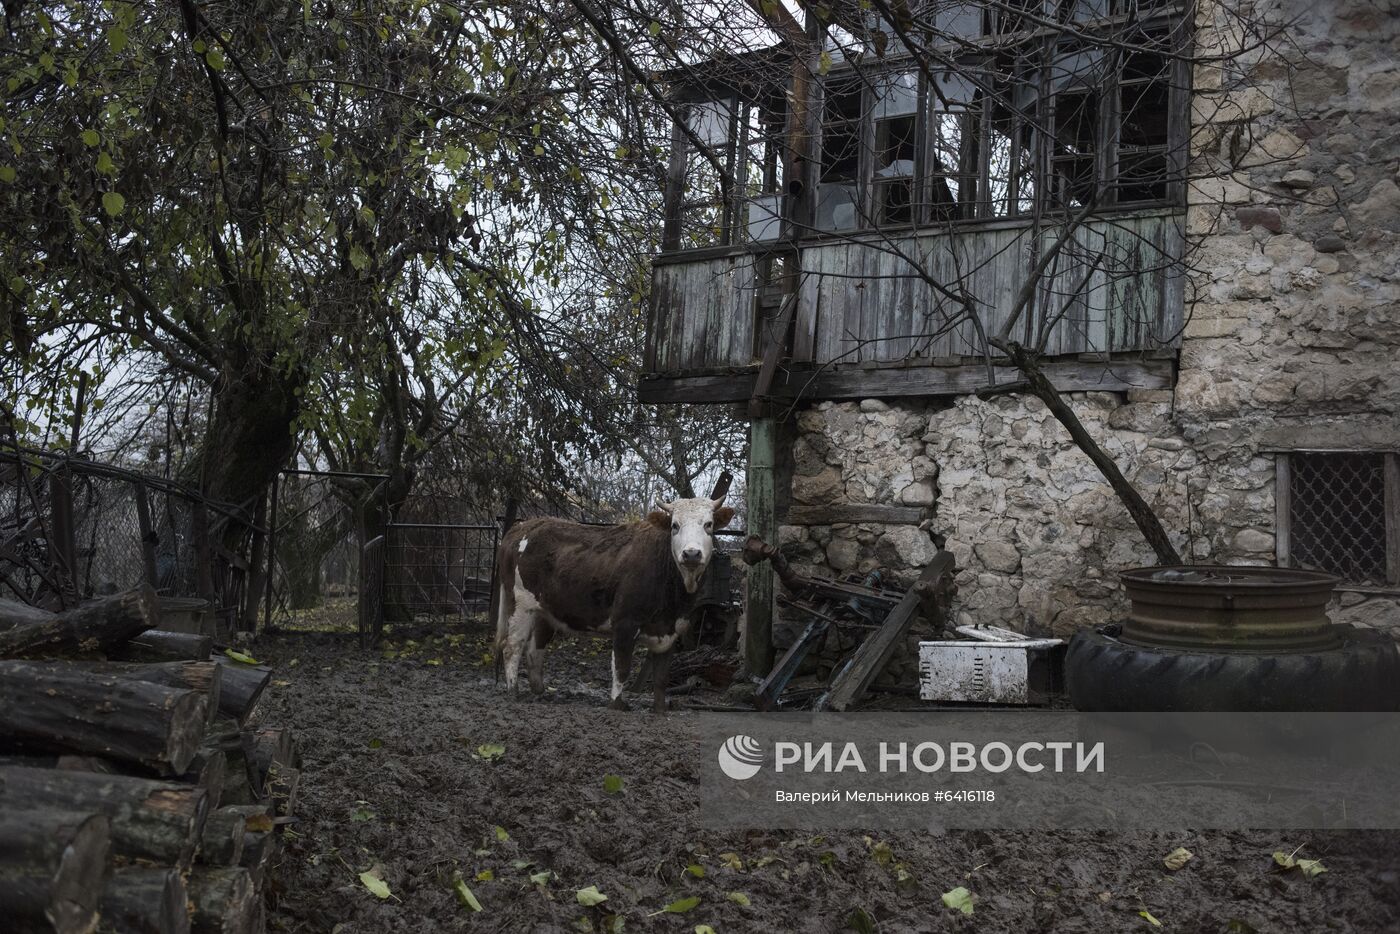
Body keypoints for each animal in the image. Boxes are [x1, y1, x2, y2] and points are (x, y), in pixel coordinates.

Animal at [492, 501, 733, 711]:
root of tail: (520, 527)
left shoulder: (671, 630)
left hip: (545, 610)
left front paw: (659, 709)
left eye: (708, 525)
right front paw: (617, 704)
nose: (691, 553)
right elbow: (622, 667)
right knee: (512, 646)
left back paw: (539, 690)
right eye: (675, 525)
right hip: (520, 604)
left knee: (535, 647)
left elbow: (661, 676)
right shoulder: (625, 622)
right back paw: (513, 691)